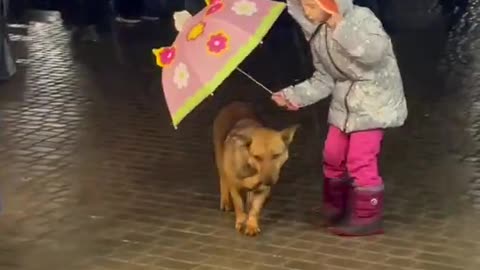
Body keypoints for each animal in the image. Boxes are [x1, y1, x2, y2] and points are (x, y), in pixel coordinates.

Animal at [213, 101, 298, 236]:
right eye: (257, 157)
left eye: (276, 155)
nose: (269, 180)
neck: (252, 170)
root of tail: (235, 103)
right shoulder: (235, 187)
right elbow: (239, 205)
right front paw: (241, 221)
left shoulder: (263, 190)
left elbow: (255, 209)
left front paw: (251, 225)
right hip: (220, 159)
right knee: (223, 179)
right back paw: (225, 201)